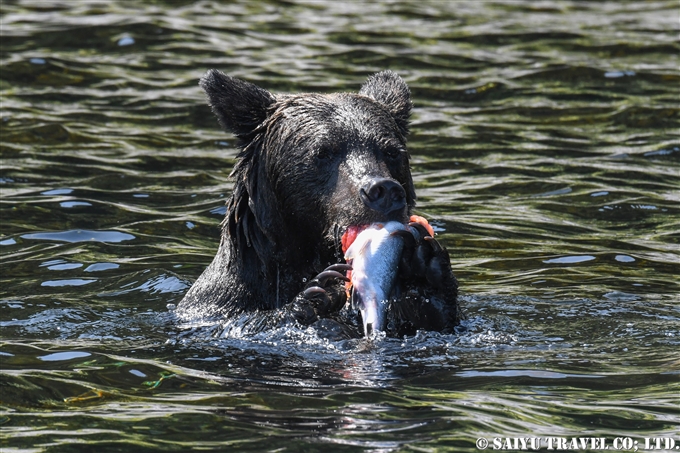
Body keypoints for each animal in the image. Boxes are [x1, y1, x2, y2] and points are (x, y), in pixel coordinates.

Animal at [178, 69, 460, 338]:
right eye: (323, 152)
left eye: (392, 151)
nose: (384, 190)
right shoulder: (218, 306)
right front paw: (317, 293)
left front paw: (424, 272)